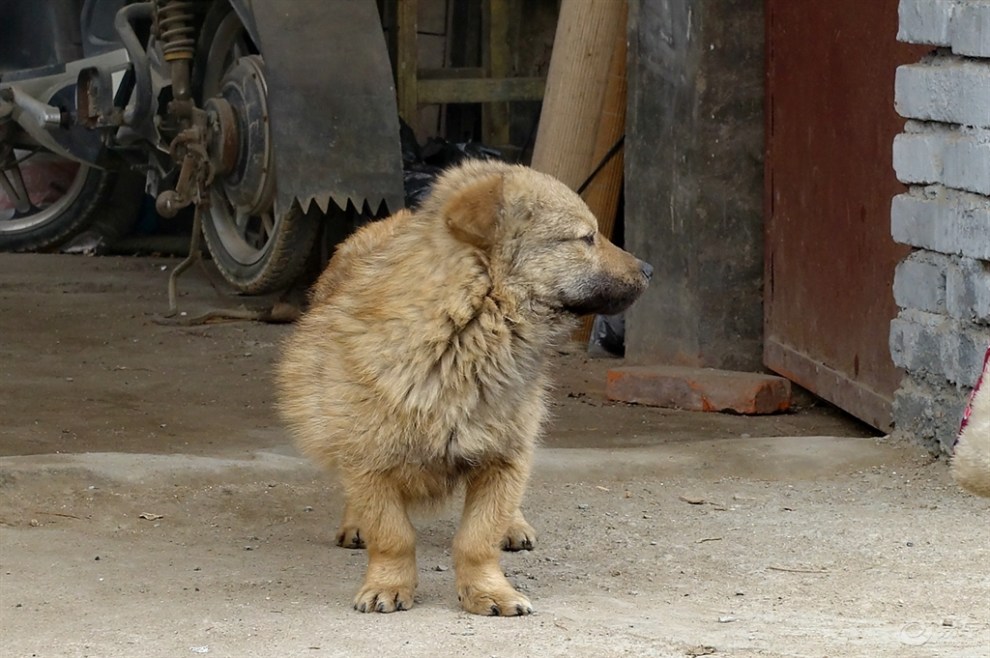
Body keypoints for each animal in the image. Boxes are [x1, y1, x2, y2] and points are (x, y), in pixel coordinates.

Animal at [278, 156, 652, 612]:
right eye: (587, 238)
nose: (650, 270)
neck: (460, 336)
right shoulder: (369, 457)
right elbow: (392, 533)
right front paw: (388, 583)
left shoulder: (505, 456)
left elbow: (478, 537)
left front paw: (489, 590)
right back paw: (355, 522)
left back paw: (514, 525)